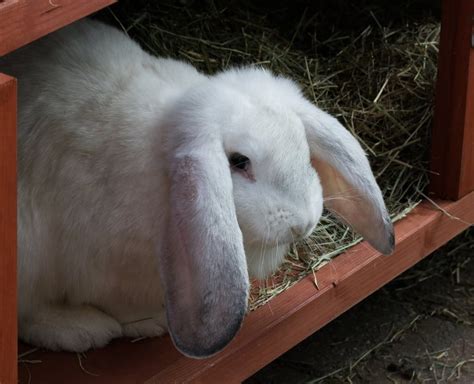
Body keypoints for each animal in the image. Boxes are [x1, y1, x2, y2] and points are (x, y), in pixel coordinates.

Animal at [0, 18, 392, 356]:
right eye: (238, 162)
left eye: (303, 149)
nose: (303, 223)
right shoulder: (100, 265)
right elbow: (120, 305)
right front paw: (150, 322)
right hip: (26, 245)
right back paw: (82, 329)